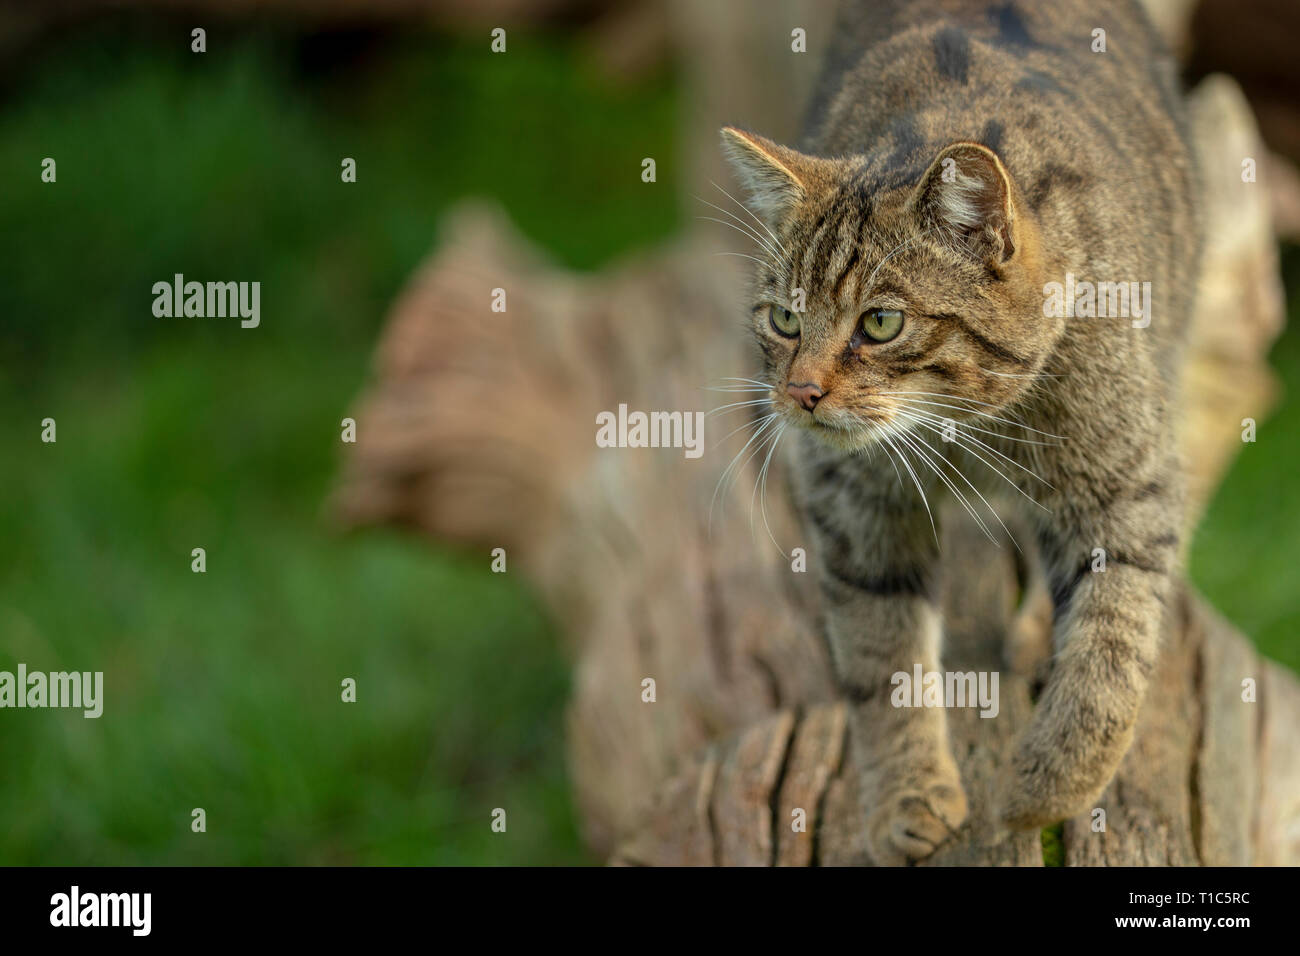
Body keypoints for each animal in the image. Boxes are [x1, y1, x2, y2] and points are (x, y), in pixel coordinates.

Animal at [722, 0, 1196, 868]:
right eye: (783, 319)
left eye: (881, 323)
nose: (799, 392)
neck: (964, 426)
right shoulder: (853, 504)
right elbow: (881, 655)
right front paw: (909, 795)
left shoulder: (1126, 488)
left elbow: (1111, 656)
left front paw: (1044, 787)